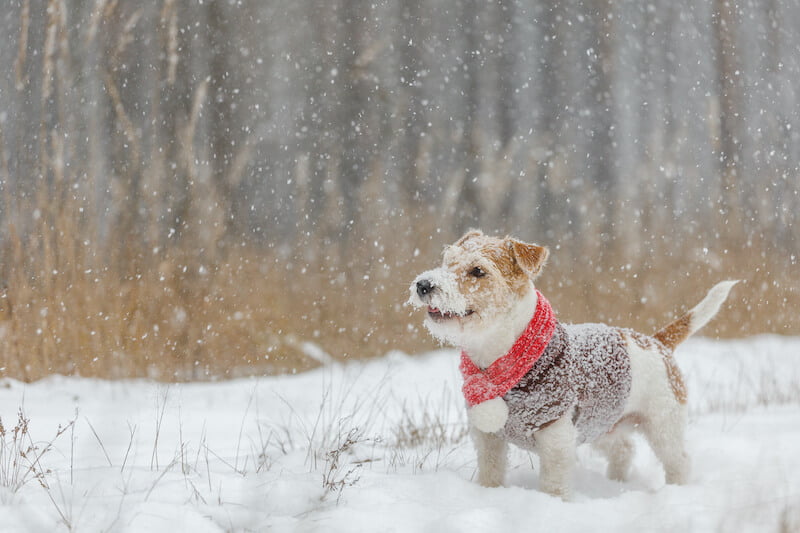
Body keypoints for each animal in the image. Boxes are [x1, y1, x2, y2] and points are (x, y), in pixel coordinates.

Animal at [410, 230, 740, 498]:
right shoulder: (487, 438)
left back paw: (677, 490)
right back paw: (615, 483)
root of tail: (655, 341)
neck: (500, 359)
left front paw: (553, 505)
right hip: (603, 423)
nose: (423, 284)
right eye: (447, 260)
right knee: (624, 449)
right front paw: (490, 494)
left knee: (678, 461)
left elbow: (554, 485)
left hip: (663, 424)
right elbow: (491, 472)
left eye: (478, 270)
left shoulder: (556, 438)